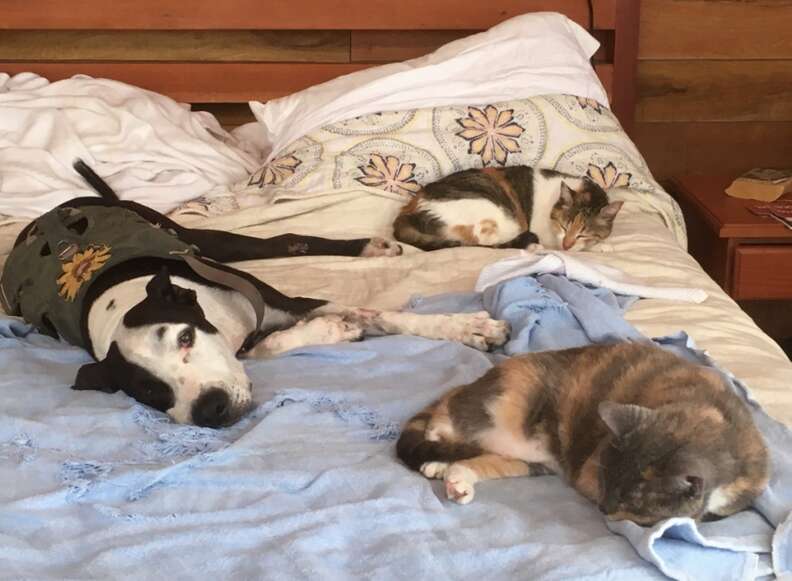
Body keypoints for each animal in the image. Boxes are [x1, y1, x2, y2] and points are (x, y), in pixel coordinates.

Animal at [0, 161, 508, 428]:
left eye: (185, 338)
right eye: (147, 389)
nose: (211, 409)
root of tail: (51, 212)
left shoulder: (282, 300)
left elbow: (384, 314)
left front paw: (467, 326)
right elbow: (269, 347)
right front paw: (333, 331)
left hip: (200, 239)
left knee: (283, 240)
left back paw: (370, 246)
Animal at [392, 165, 620, 251]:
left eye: (584, 233)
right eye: (564, 226)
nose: (566, 244)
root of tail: (409, 209)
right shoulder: (547, 233)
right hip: (499, 214)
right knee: (485, 241)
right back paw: (532, 247)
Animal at [400, 342, 772, 524]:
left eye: (630, 499)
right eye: (606, 482)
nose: (603, 509)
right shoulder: (589, 468)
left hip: (532, 457)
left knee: (481, 458)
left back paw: (450, 476)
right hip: (510, 407)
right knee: (449, 418)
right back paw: (440, 450)